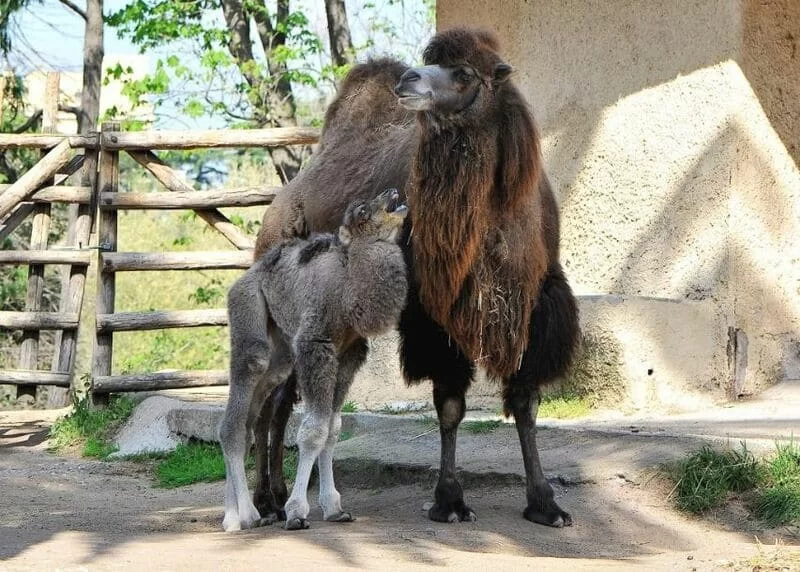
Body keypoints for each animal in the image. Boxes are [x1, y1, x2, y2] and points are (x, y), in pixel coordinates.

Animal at [217, 189, 406, 532]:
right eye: (361, 211)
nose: (392, 192)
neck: (348, 286)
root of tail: (246, 276)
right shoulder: (314, 345)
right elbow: (313, 431)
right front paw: (295, 511)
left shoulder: (349, 355)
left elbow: (332, 429)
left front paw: (334, 508)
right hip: (248, 306)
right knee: (244, 388)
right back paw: (247, 515)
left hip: (280, 348)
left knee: (252, 415)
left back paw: (233, 516)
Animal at [247, 26, 580, 528]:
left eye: (465, 73)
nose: (408, 80)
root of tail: (277, 207)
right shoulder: (435, 311)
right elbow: (451, 407)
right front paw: (450, 501)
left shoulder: (533, 304)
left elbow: (525, 403)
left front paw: (545, 503)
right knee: (271, 398)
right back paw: (267, 500)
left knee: (284, 396)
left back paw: (281, 494)